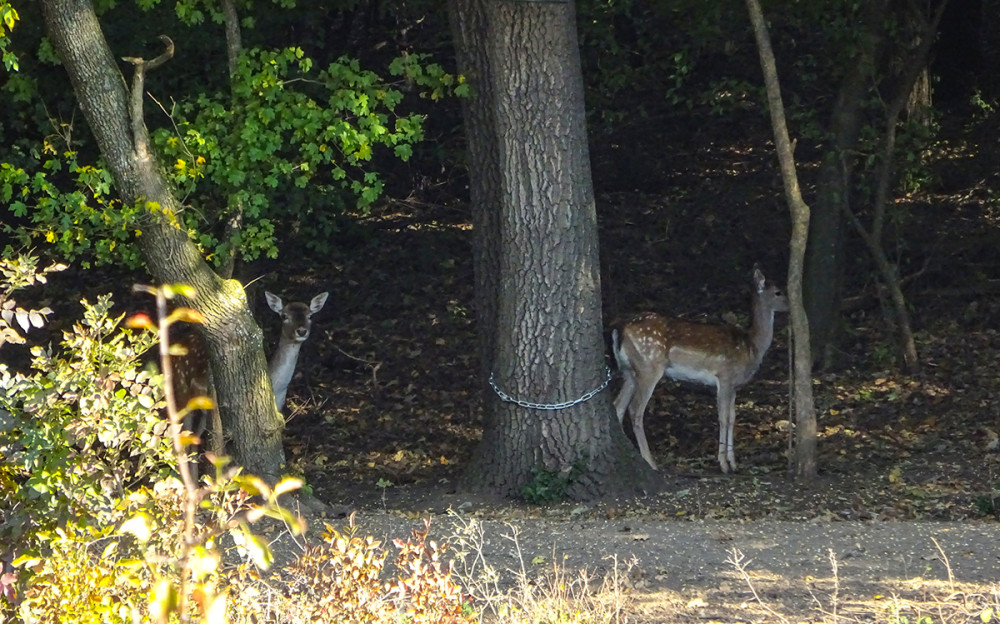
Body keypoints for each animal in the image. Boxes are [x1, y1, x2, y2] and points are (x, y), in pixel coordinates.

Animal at [608, 268, 788, 472]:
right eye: (778, 292)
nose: (790, 306)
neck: (751, 346)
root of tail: (620, 328)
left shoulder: (734, 385)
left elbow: (733, 417)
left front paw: (733, 462)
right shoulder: (725, 376)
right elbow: (723, 417)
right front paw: (723, 464)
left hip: (630, 371)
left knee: (618, 405)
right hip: (649, 366)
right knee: (635, 409)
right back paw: (650, 462)